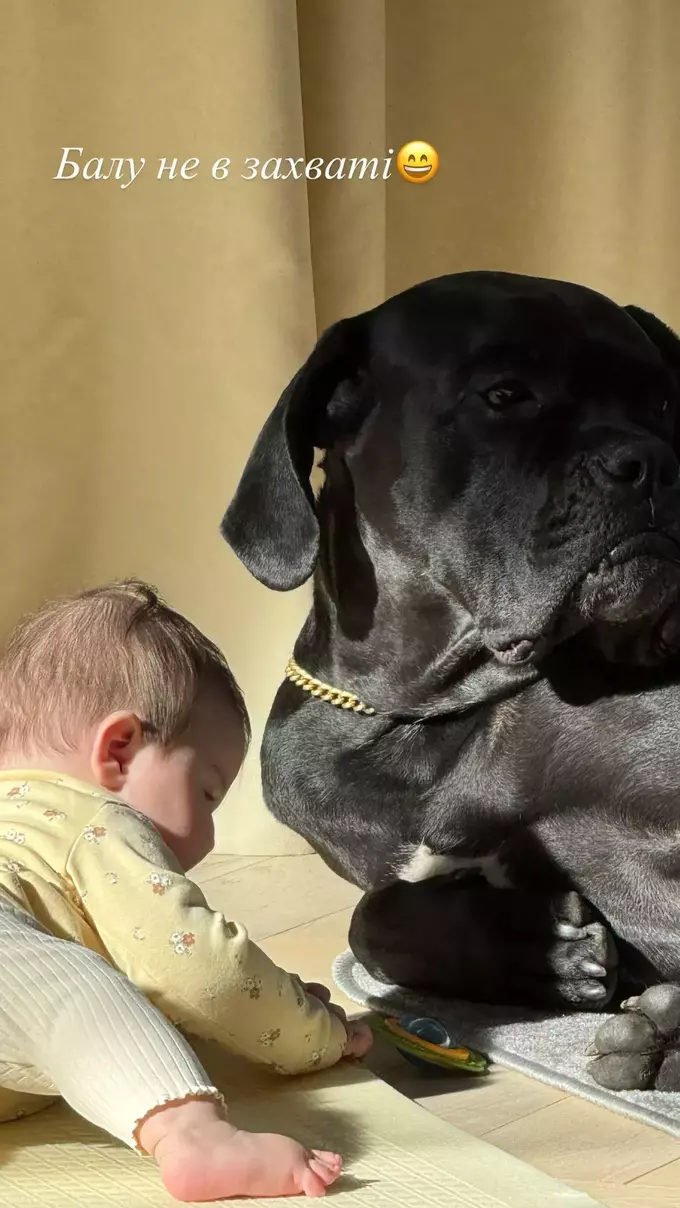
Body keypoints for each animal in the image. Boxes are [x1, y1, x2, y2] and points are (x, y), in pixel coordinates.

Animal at [222, 271, 680, 1091]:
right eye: (505, 395)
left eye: (663, 404)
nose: (654, 462)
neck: (426, 711)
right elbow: (369, 916)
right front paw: (544, 954)